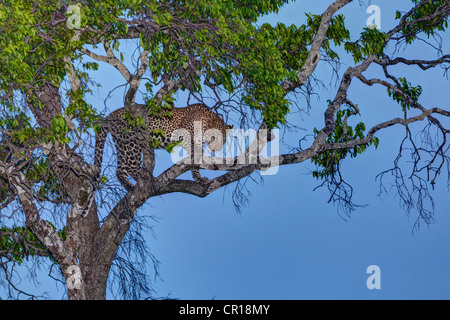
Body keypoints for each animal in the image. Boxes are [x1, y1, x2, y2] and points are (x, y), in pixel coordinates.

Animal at [91, 104, 232, 191]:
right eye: (215, 137)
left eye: (224, 140)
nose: (216, 149)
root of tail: (113, 114)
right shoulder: (187, 136)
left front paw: (199, 178)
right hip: (131, 142)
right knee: (130, 167)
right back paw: (146, 179)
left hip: (121, 144)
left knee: (119, 170)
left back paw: (130, 187)